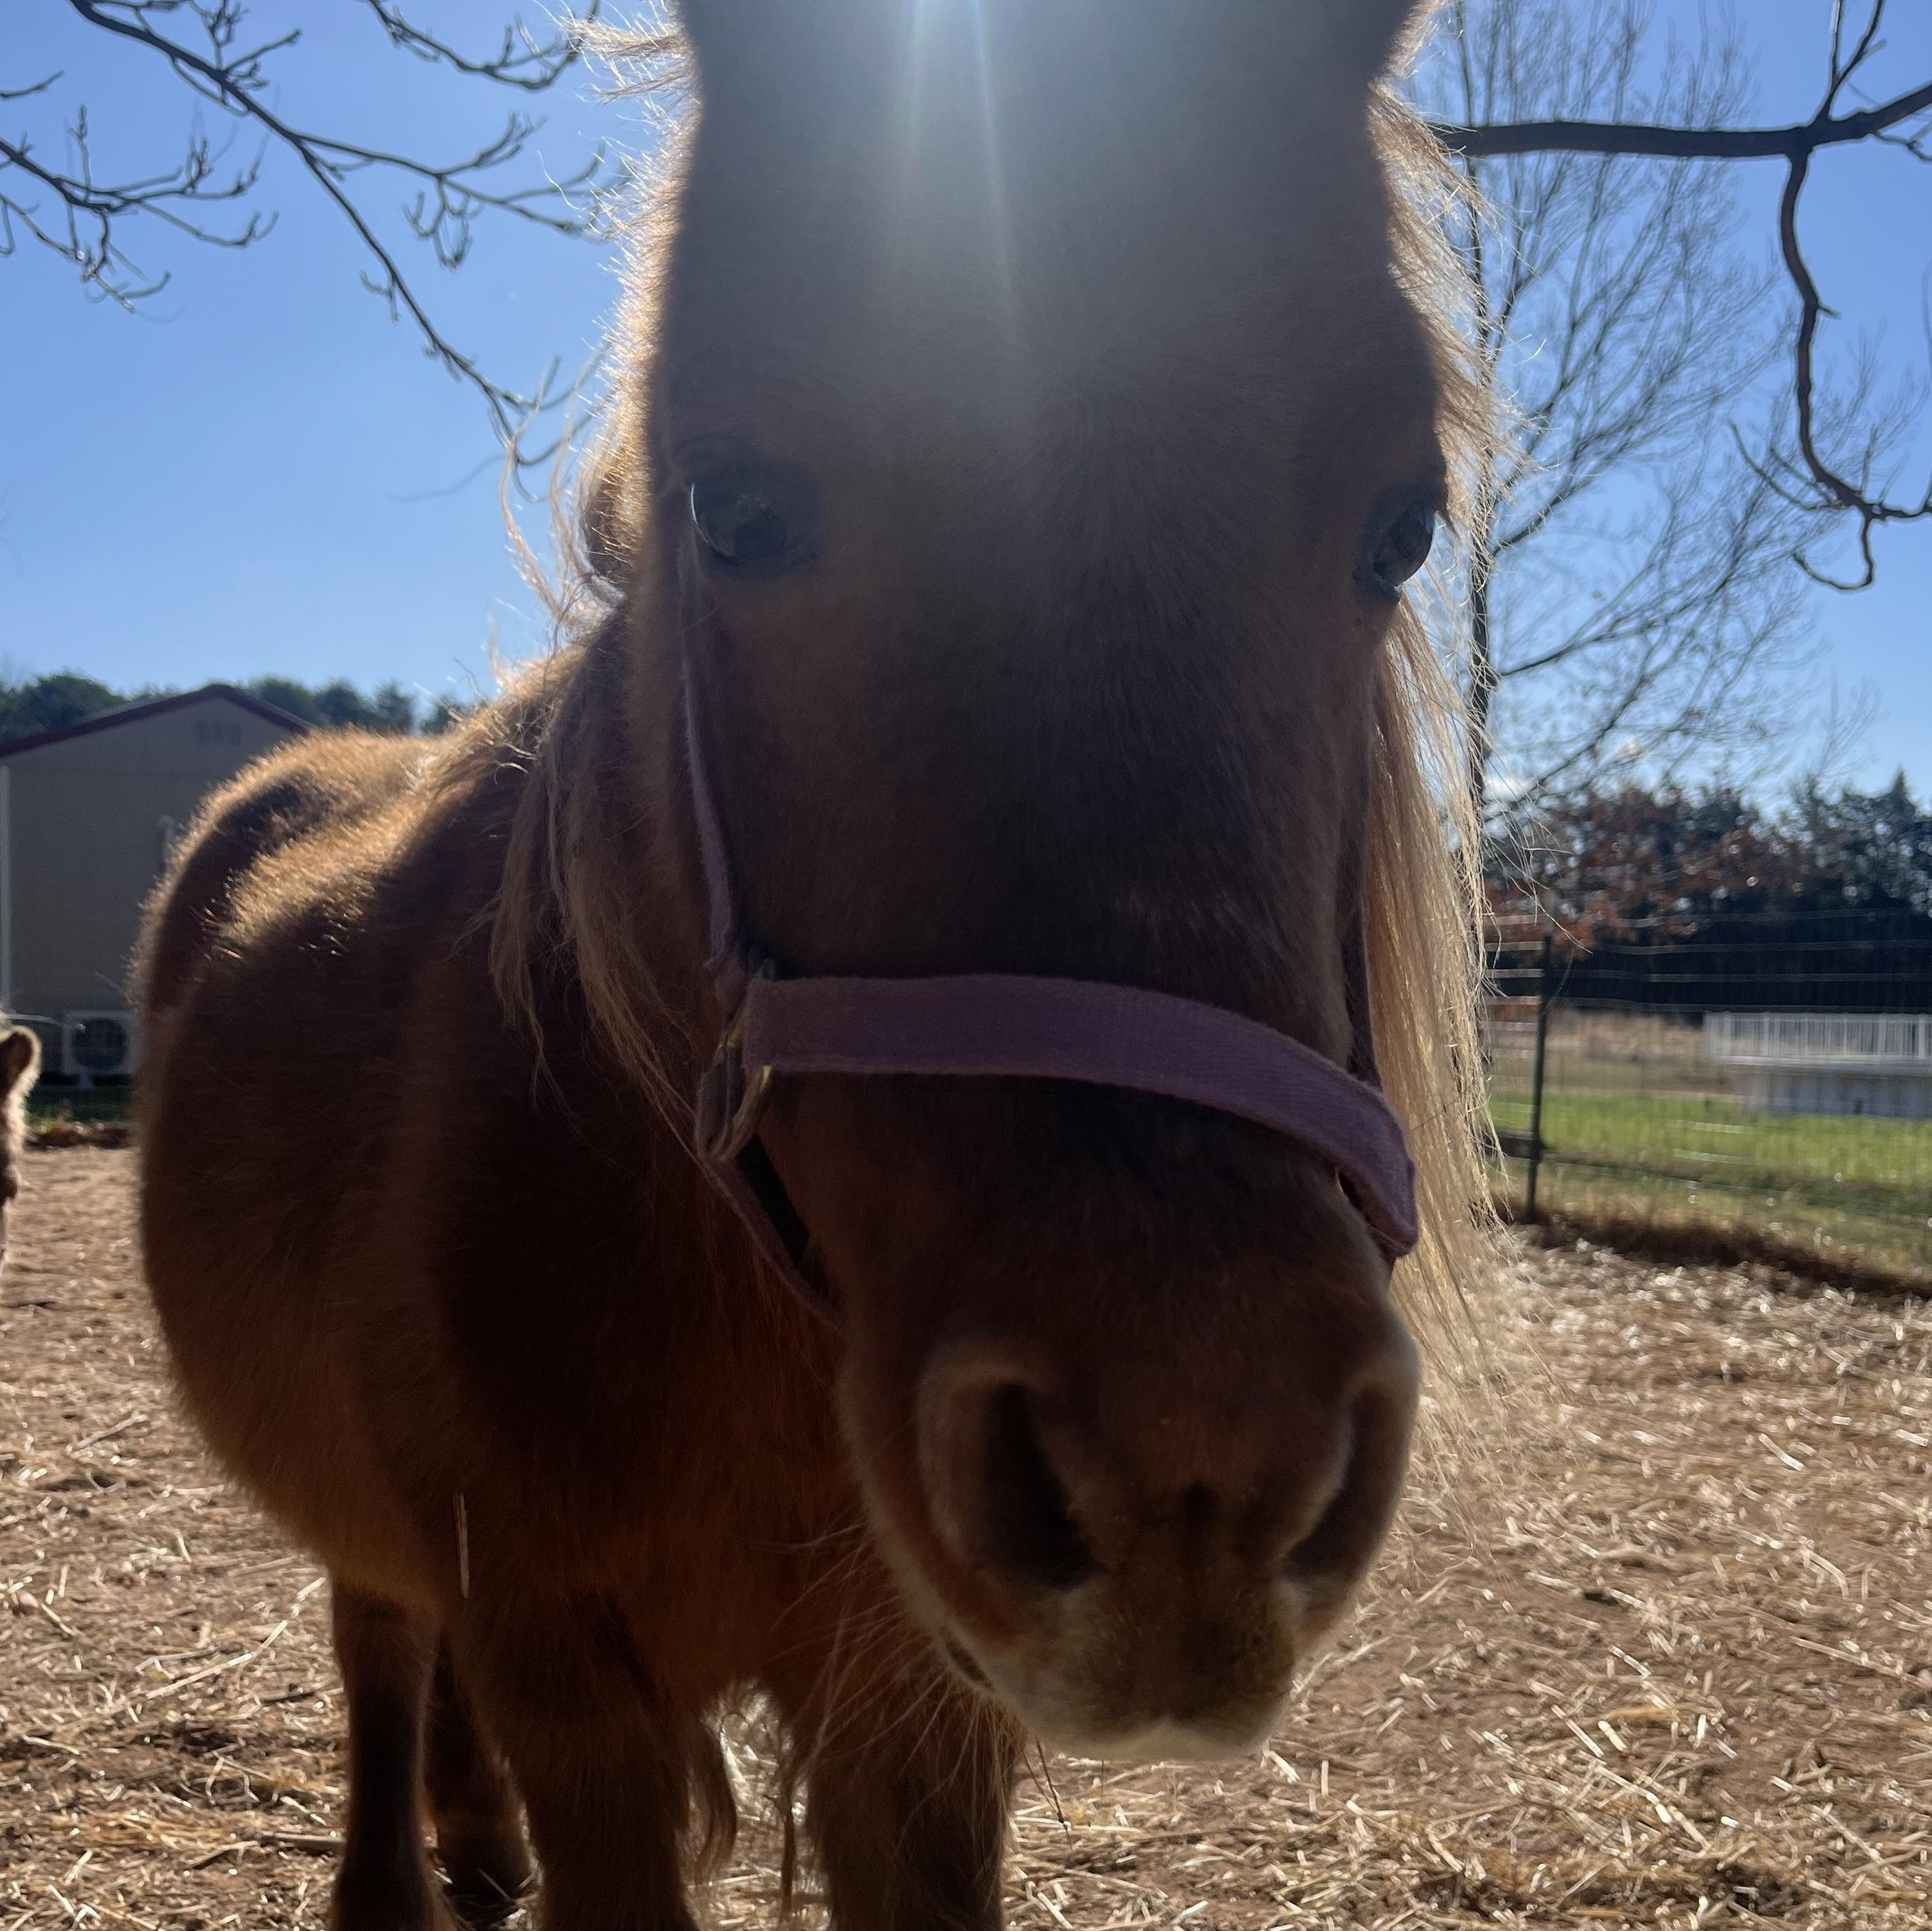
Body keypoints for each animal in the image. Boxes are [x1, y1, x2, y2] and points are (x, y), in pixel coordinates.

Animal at [134, 4, 1494, 1928]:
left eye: (1399, 526)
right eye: (734, 509)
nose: (1193, 1465)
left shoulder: (910, 1712)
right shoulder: (575, 1687)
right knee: (382, 1641)